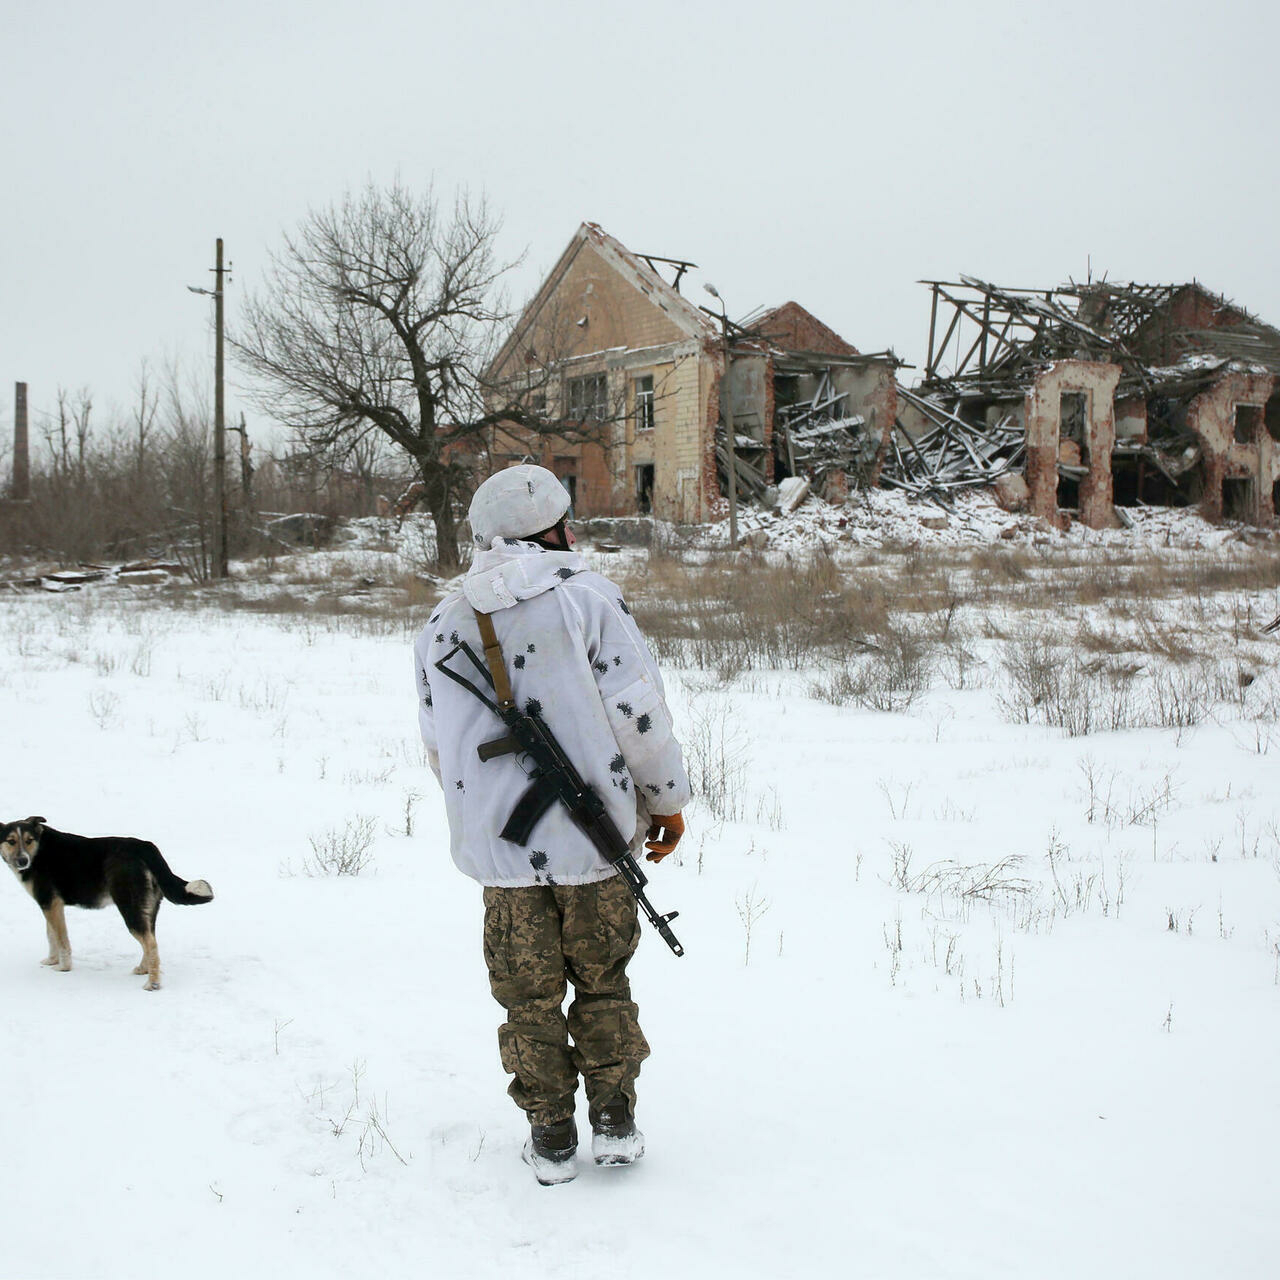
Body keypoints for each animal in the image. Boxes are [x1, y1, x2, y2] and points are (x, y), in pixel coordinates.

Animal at [0, 819, 215, 988]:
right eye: (11, 841)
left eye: (29, 840)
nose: (22, 861)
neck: (39, 851)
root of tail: (146, 847)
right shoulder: (50, 905)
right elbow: (51, 936)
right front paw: (51, 961)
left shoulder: (50, 904)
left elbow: (61, 940)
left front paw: (63, 967)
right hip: (148, 908)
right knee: (150, 942)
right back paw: (143, 970)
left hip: (130, 908)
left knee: (151, 945)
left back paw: (152, 984)